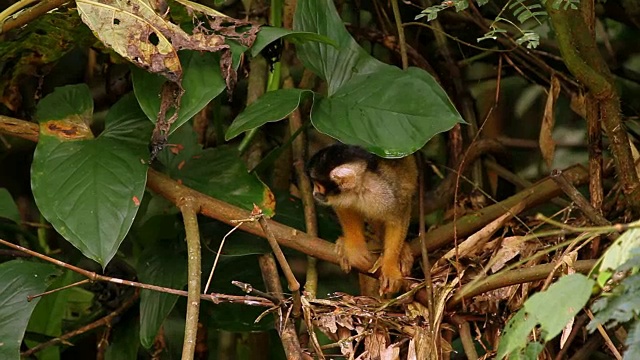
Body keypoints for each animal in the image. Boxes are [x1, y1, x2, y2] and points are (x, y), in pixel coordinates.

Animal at [306, 143, 418, 296]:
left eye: (318, 185)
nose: (314, 193)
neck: (359, 188)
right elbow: (344, 208)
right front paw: (355, 248)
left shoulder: (384, 193)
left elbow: (398, 216)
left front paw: (390, 266)